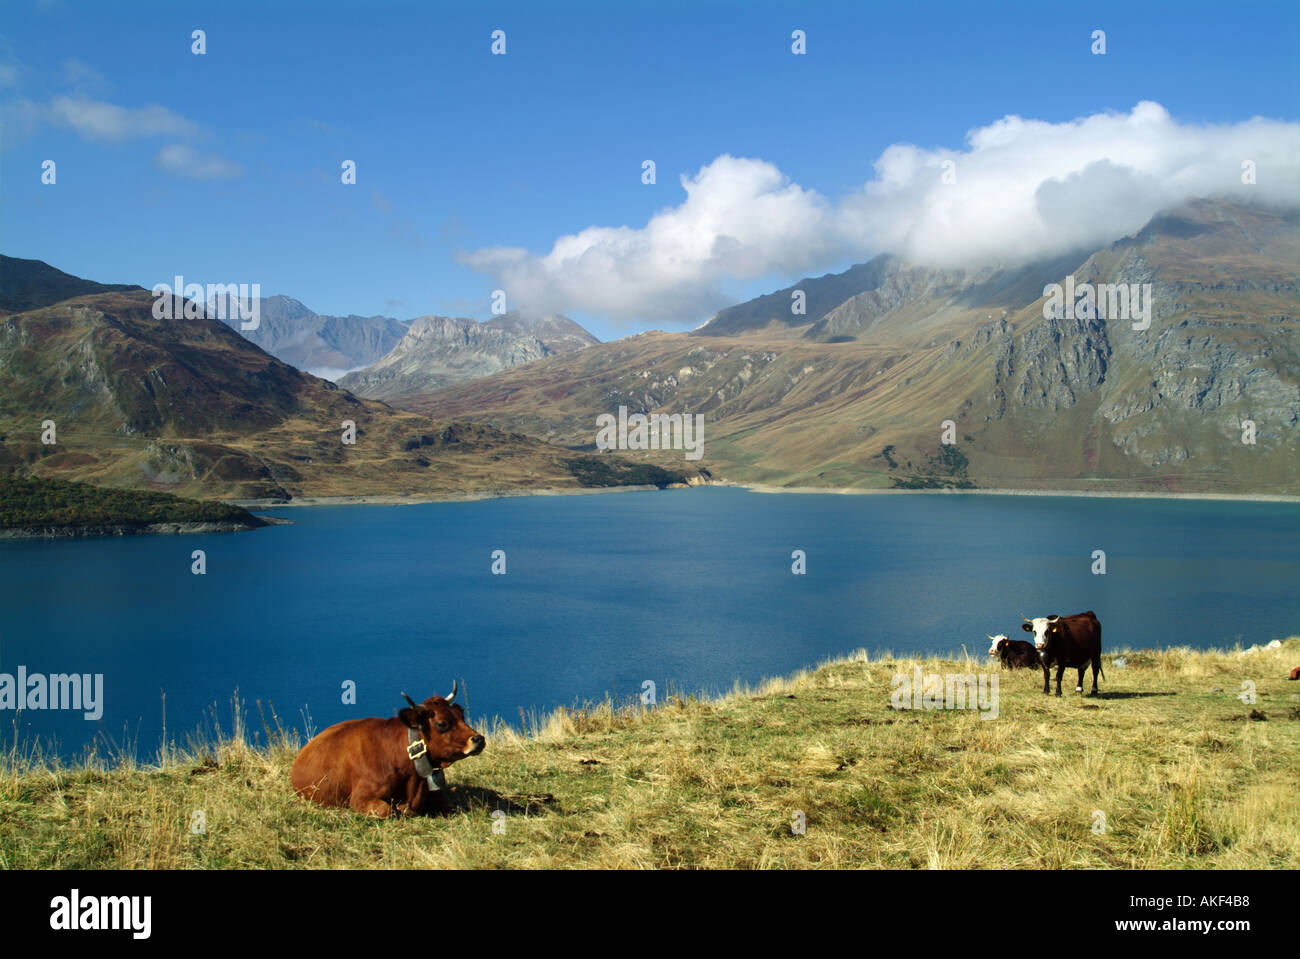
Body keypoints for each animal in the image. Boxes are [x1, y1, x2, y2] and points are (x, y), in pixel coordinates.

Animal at [292, 680, 486, 816]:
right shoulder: (360, 798)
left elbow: (449, 806)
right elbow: (388, 811)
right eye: (442, 723)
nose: (479, 739)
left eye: (461, 715)